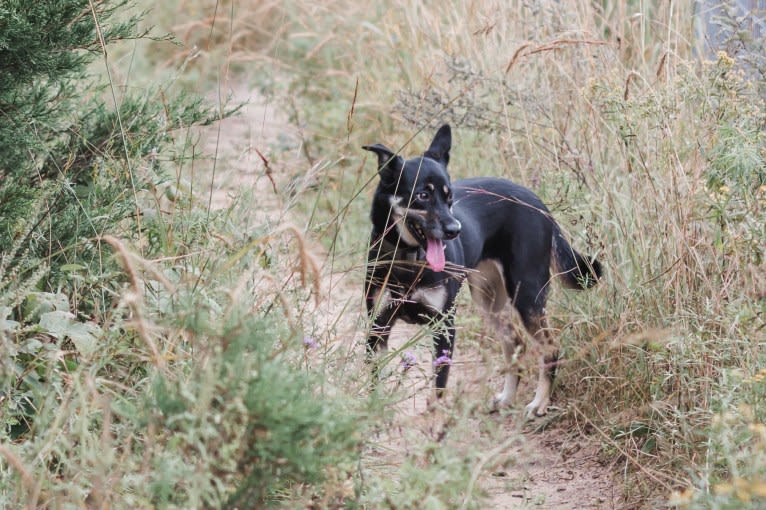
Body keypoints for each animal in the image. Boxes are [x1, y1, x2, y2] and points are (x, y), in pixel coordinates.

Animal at [364, 125, 604, 416]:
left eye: (450, 197)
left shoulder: (445, 325)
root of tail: (538, 203)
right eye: (422, 195)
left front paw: (436, 417)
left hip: (527, 297)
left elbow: (439, 384)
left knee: (550, 347)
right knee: (516, 343)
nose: (455, 230)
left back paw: (540, 402)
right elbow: (375, 379)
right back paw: (507, 397)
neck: (410, 261)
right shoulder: (377, 326)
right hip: (489, 300)